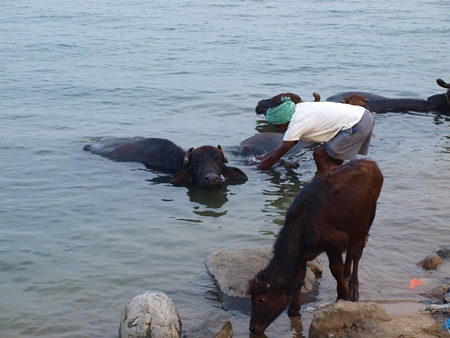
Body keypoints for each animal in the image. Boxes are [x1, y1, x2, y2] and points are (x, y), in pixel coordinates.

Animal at [246, 160, 384, 334]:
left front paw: (342, 296)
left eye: (261, 300)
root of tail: (369, 162)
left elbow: (335, 270)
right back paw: (348, 273)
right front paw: (294, 308)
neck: (302, 223)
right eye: (251, 298)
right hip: (352, 227)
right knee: (351, 252)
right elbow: (300, 275)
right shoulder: (302, 255)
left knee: (357, 252)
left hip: (364, 223)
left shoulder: (334, 245)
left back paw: (353, 287)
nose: (252, 328)